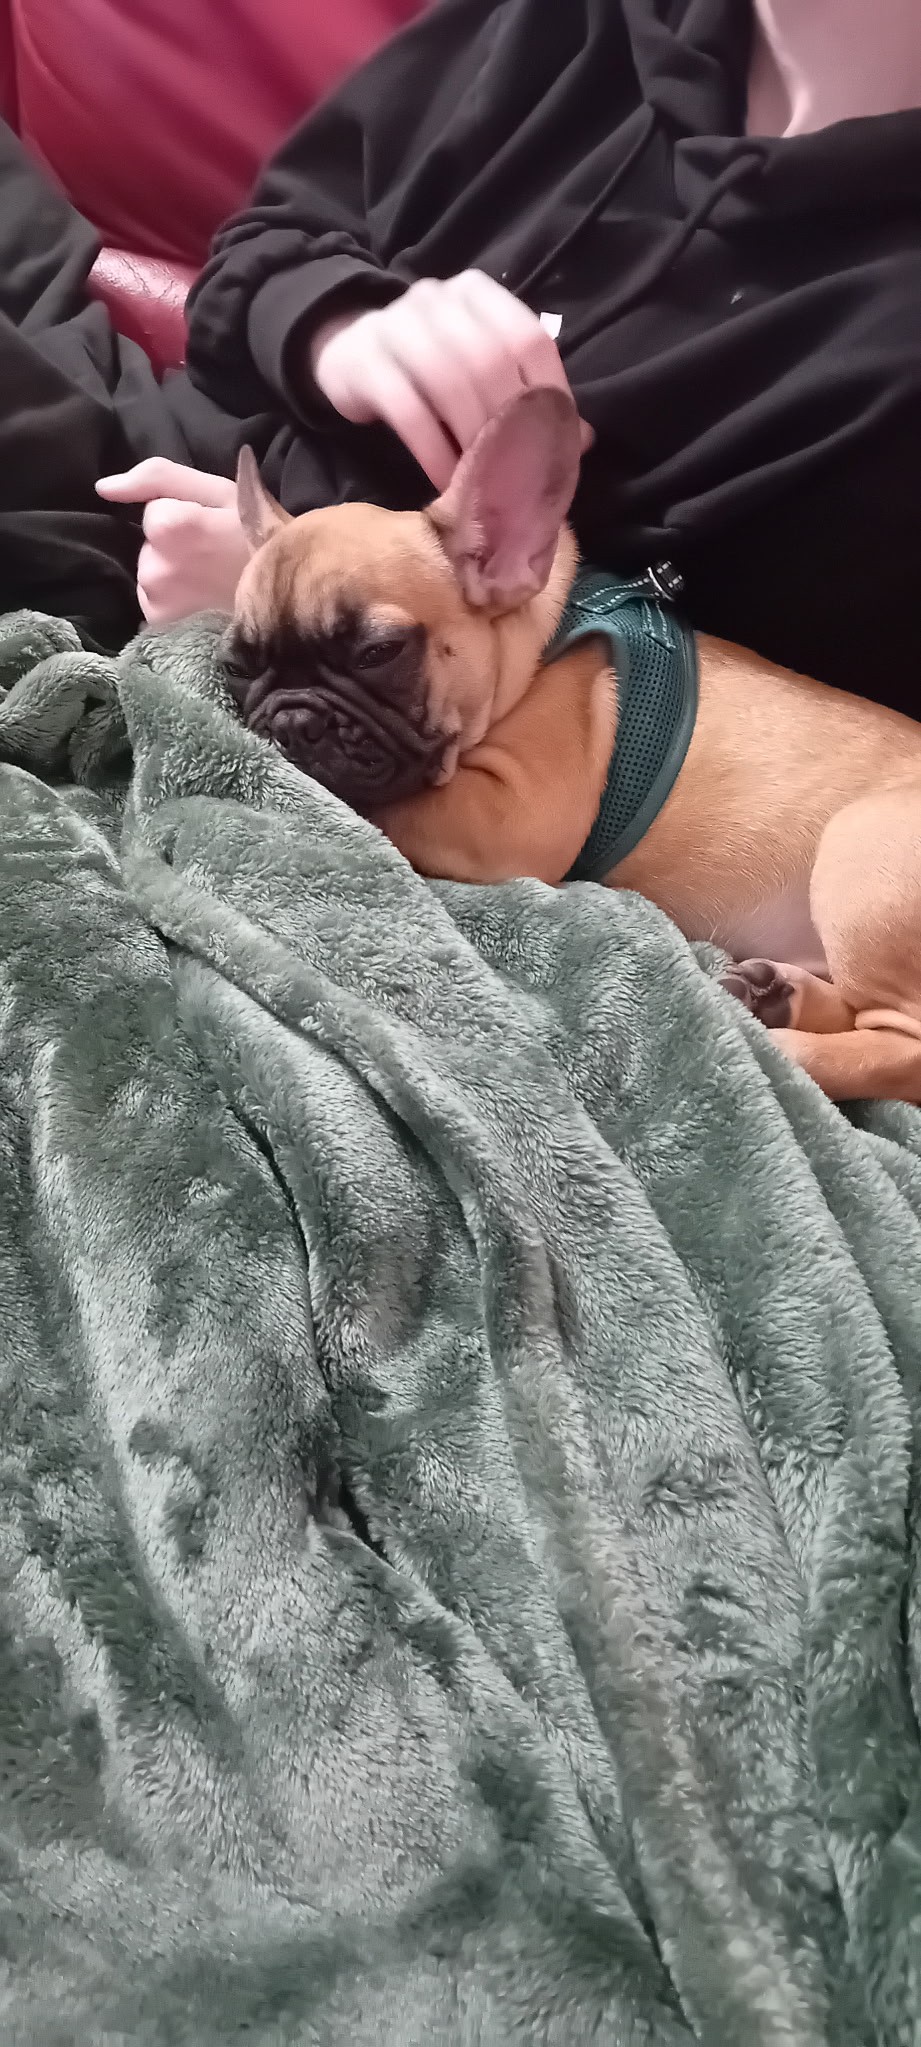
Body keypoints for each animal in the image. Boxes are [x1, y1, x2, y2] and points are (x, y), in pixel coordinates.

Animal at [223, 388, 921, 1105]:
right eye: (236, 667)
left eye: (378, 653)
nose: (290, 721)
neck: (532, 653)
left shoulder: (508, 818)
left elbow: (393, 806)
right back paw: (777, 995)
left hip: (860, 853)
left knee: (903, 1048)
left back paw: (791, 1050)